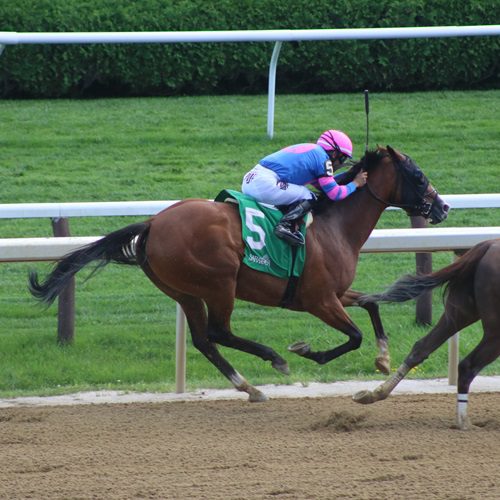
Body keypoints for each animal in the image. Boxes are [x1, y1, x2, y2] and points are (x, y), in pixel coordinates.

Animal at [28, 146, 450, 402]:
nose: (443, 207)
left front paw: (382, 358)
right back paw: (273, 359)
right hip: (219, 282)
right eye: (417, 175)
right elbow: (353, 335)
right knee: (219, 332)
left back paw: (248, 386)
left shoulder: (333, 293)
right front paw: (305, 351)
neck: (335, 225)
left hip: (183, 290)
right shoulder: (317, 300)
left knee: (204, 340)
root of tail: (152, 223)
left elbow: (370, 305)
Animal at [352, 238, 500, 430]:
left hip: (462, 311)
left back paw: (375, 393)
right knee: (467, 365)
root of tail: (488, 245)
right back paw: (464, 422)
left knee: (421, 347)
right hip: (494, 330)